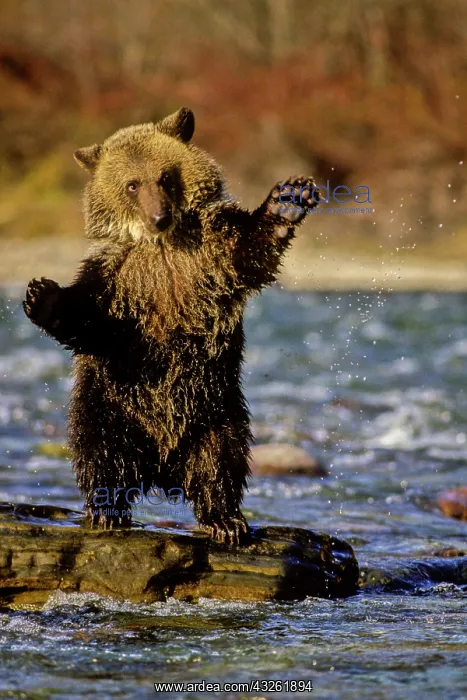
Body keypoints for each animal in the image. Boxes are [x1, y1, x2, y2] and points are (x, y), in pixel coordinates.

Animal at [23, 107, 318, 544]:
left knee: (221, 458)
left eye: (164, 176)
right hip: (109, 403)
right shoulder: (117, 279)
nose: (158, 216)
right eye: (131, 184)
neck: (162, 246)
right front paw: (40, 295)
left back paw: (224, 519)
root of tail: (161, 469)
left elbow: (250, 250)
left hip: (215, 408)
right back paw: (107, 510)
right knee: (98, 449)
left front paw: (288, 200)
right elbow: (90, 322)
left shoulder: (210, 254)